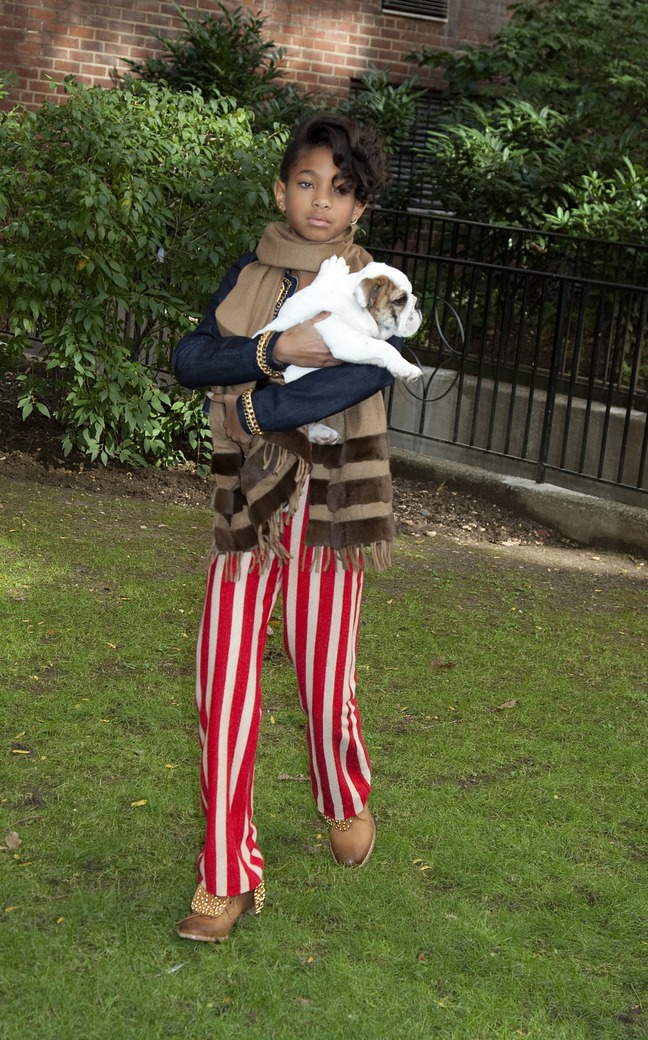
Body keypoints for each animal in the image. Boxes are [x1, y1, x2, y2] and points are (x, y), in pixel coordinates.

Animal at [255, 255, 424, 443]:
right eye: (400, 300)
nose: (418, 304)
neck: (354, 304)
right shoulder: (345, 339)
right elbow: (383, 346)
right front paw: (406, 367)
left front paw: (331, 270)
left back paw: (322, 434)